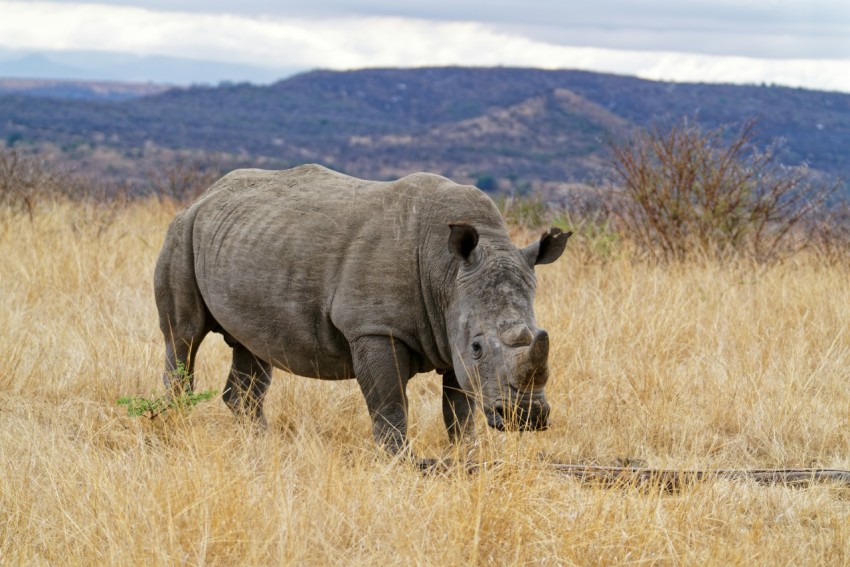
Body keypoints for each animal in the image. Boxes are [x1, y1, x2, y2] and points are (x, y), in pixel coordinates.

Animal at [154, 164, 570, 462]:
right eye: (479, 346)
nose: (527, 418)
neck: (448, 273)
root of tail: (206, 194)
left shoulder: (452, 332)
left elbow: (459, 411)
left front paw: (469, 459)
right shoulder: (374, 328)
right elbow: (390, 405)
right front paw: (399, 464)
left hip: (247, 241)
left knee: (253, 347)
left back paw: (261, 446)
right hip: (181, 232)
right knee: (183, 336)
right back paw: (178, 426)